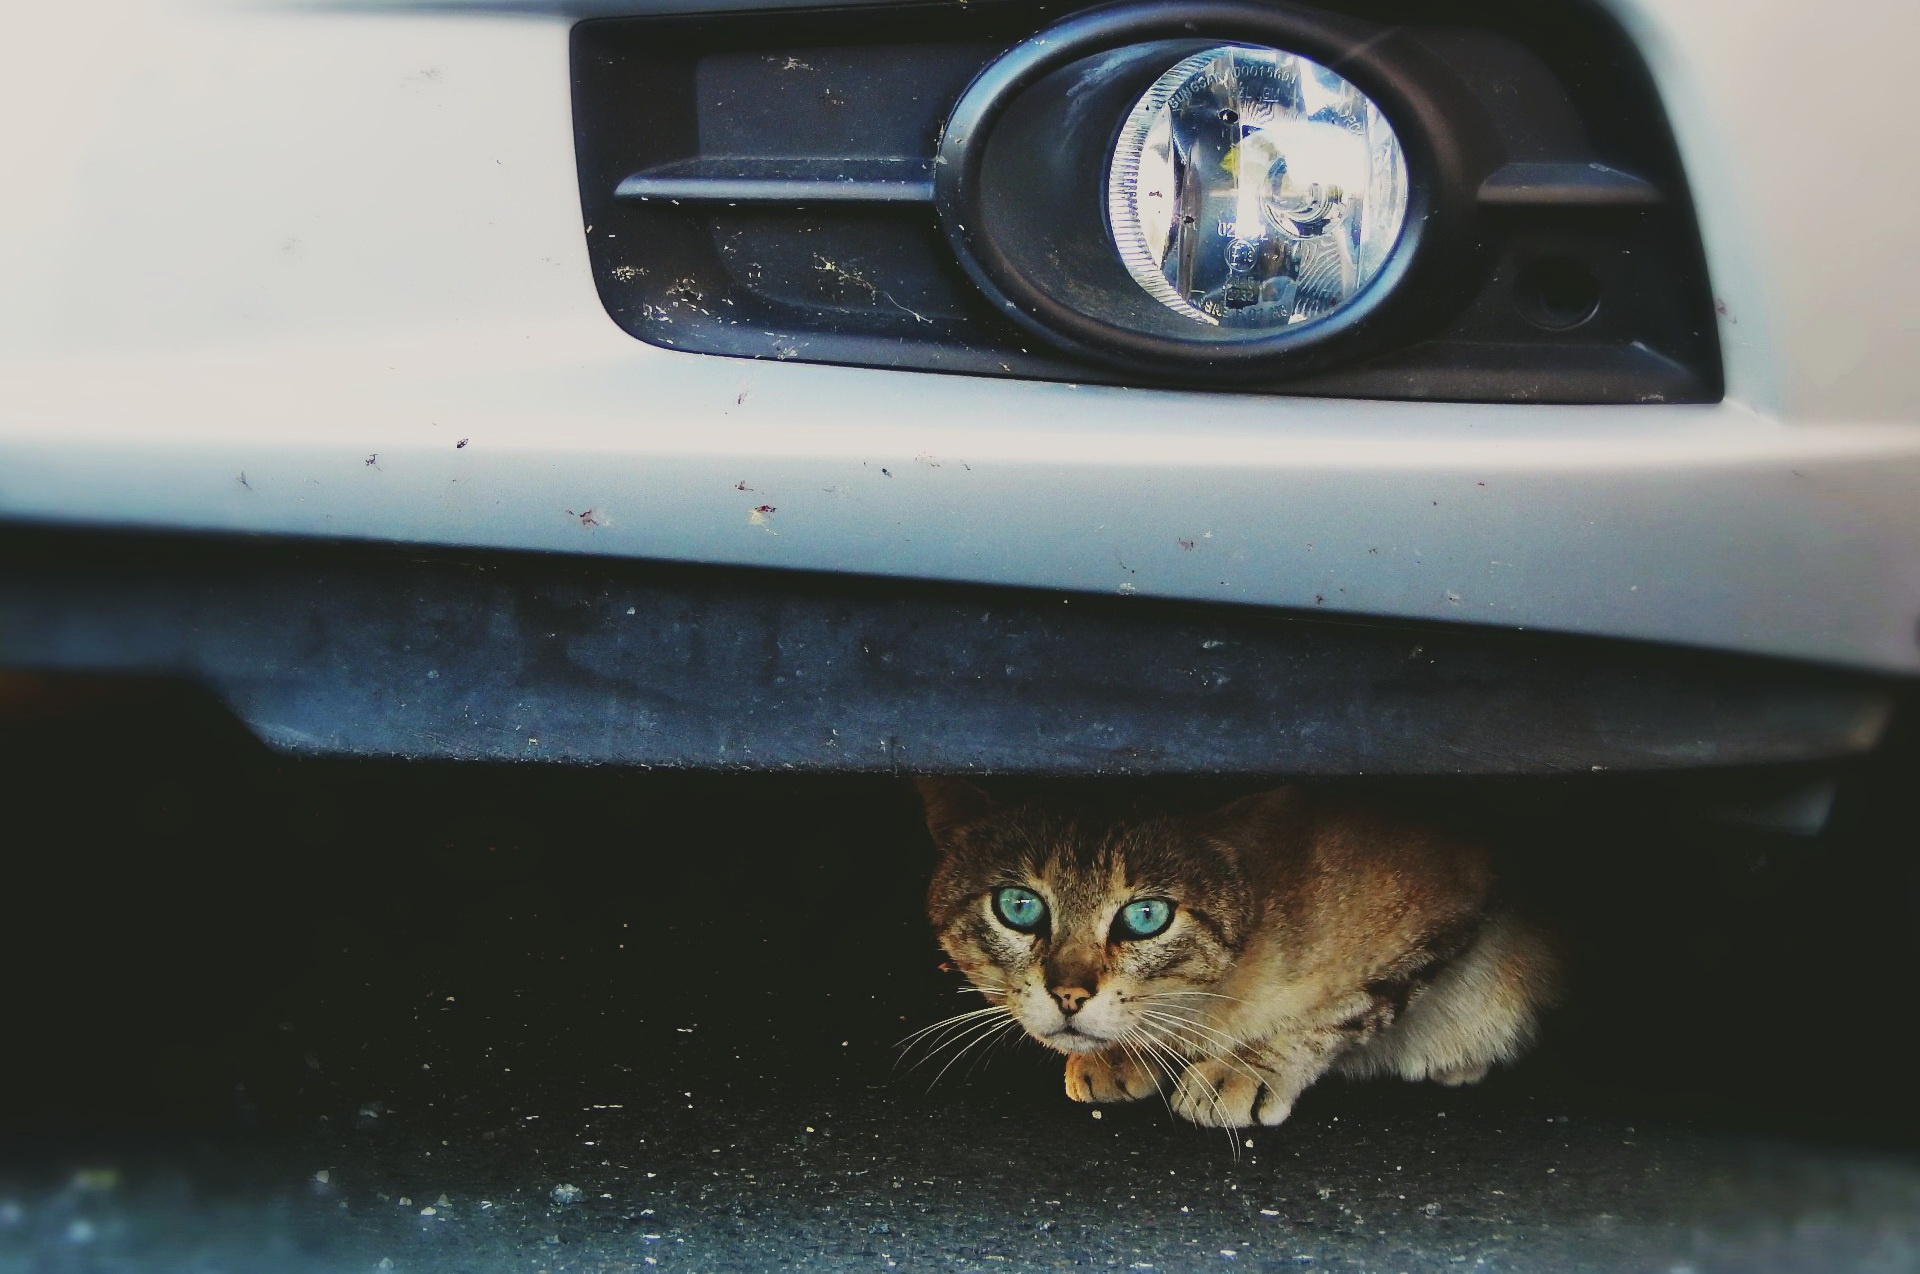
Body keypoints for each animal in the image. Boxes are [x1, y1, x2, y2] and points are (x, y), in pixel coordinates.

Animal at [913, 782, 1559, 1128]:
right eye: (1018, 906)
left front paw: (1243, 1069)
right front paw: (1124, 1057)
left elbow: (1344, 1011)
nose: (1069, 995)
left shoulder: (1451, 898)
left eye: (1145, 916)